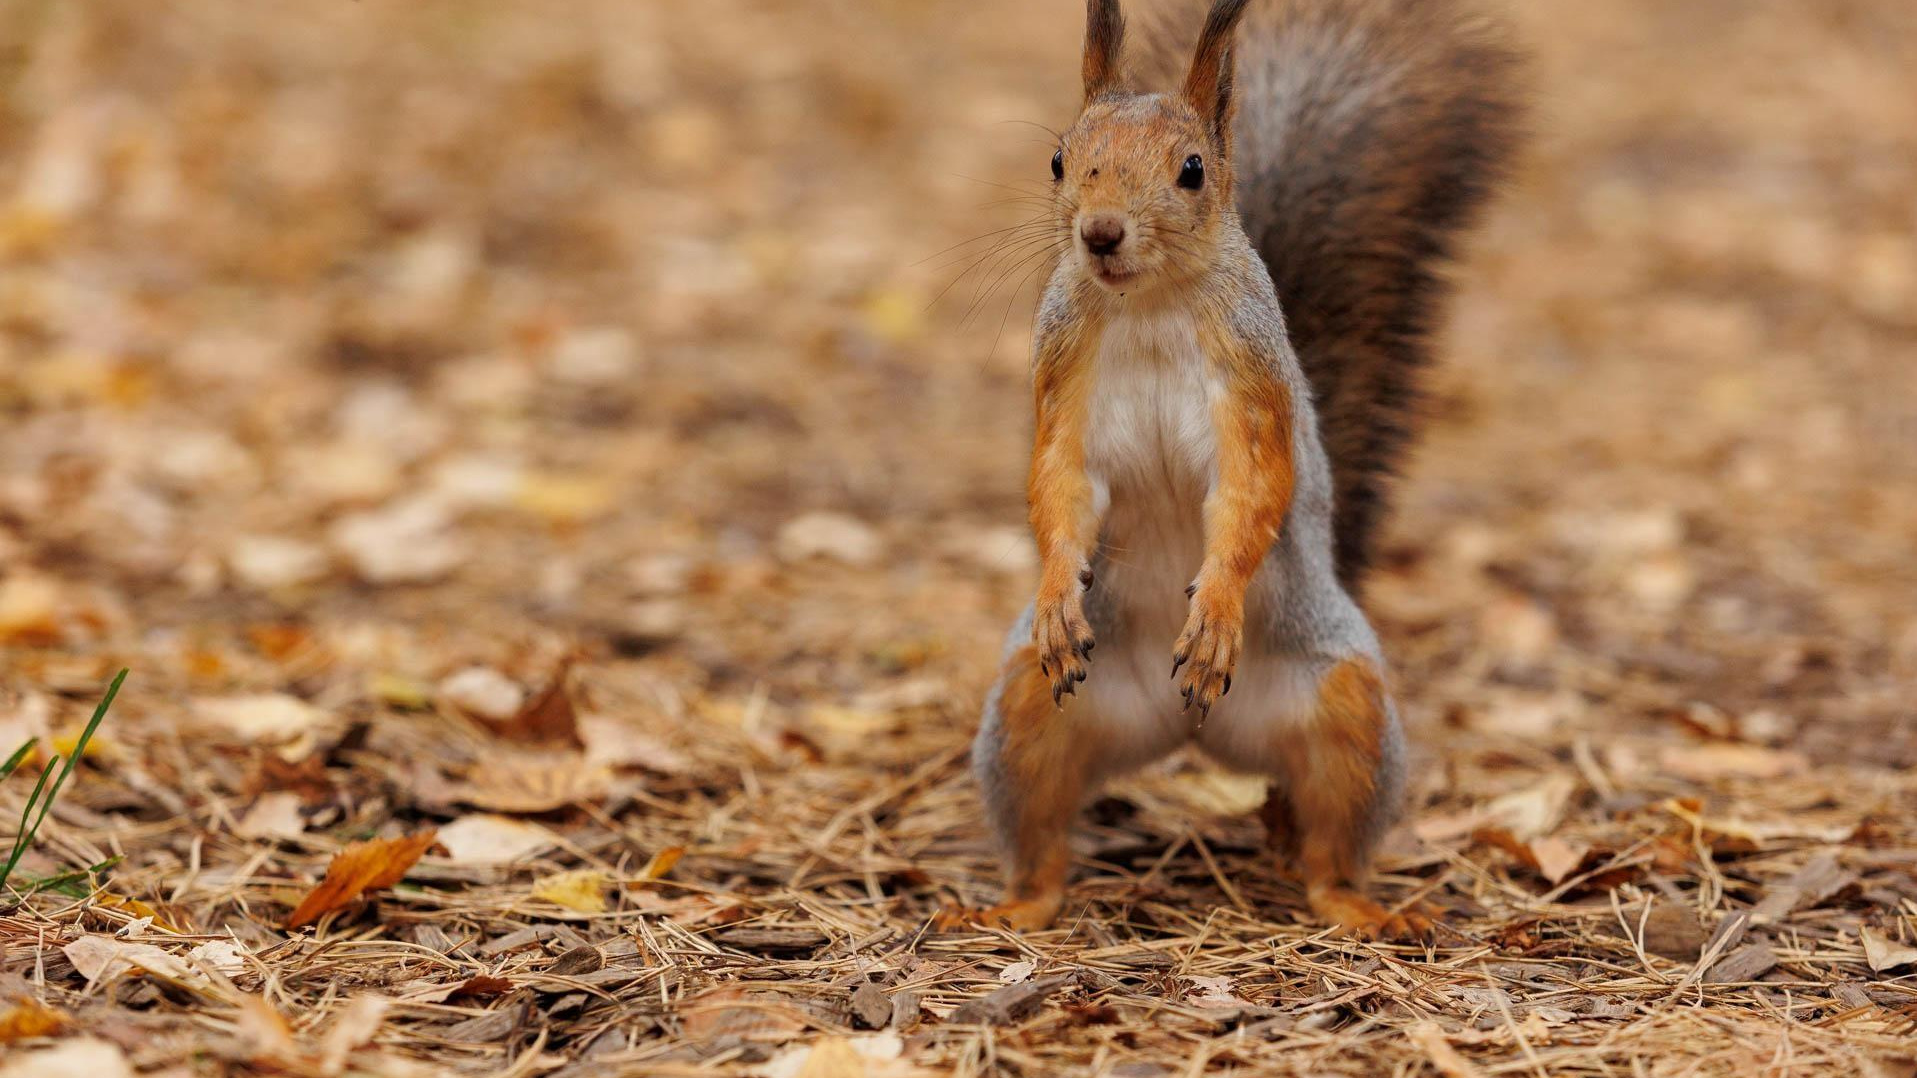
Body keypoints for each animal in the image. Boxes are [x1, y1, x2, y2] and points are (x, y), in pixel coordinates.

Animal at [966, 0, 1518, 932]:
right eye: (1058, 159)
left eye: (1191, 170)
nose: (1098, 233)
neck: (1146, 302)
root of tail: (1189, 738)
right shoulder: (1062, 376)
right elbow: (1060, 489)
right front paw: (1053, 593)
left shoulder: (1253, 383)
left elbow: (1248, 495)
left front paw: (1216, 611)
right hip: (1026, 711)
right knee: (1040, 837)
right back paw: (1012, 907)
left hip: (1346, 708)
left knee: (1331, 842)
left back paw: (1359, 908)